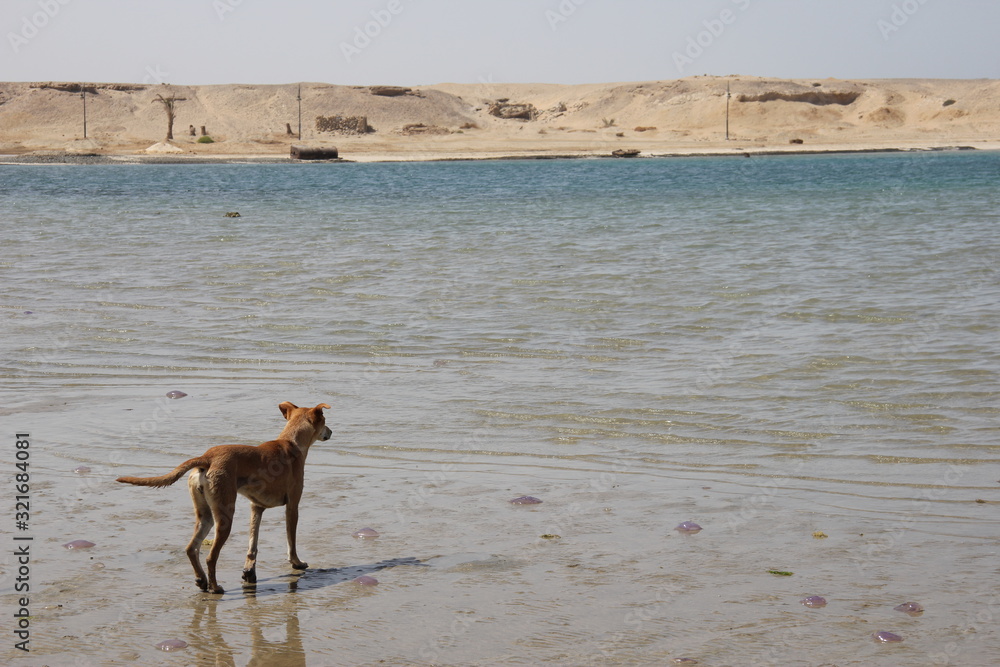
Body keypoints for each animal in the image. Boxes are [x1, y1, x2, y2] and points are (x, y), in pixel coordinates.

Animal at [114, 402, 330, 596]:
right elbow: (291, 541)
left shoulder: (256, 507)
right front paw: (297, 563)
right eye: (325, 421)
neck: (291, 442)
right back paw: (215, 587)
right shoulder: (293, 505)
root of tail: (207, 457)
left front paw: (249, 572)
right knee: (211, 557)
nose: (331, 432)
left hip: (206, 516)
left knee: (191, 549)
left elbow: (252, 545)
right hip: (225, 517)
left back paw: (202, 580)